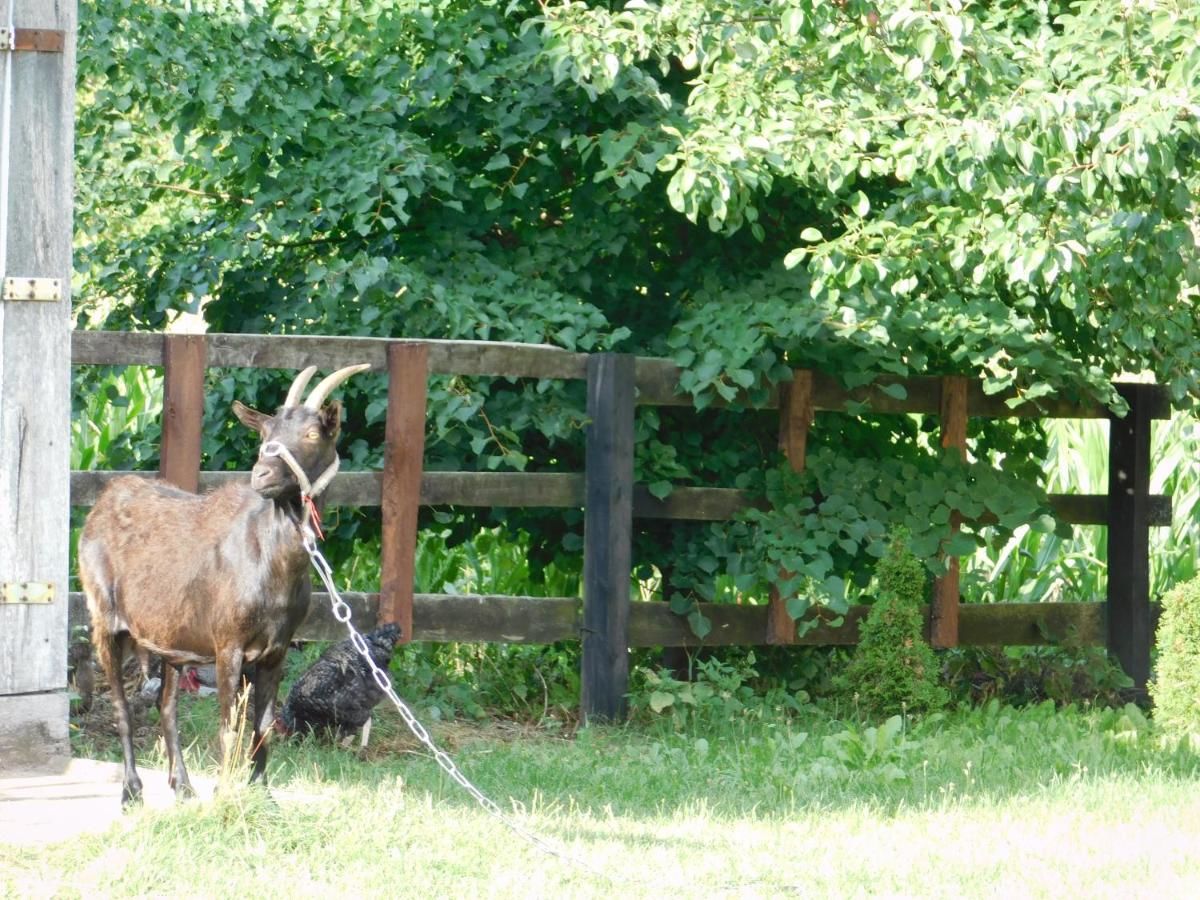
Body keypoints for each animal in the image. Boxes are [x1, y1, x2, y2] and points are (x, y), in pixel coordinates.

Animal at [78, 362, 367, 806]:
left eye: (312, 434)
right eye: (266, 433)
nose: (261, 475)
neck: (271, 559)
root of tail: (104, 501)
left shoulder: (276, 650)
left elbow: (263, 724)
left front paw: (262, 795)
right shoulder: (228, 645)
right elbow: (229, 726)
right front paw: (225, 795)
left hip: (169, 638)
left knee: (166, 706)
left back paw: (182, 786)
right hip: (105, 620)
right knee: (122, 708)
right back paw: (131, 791)